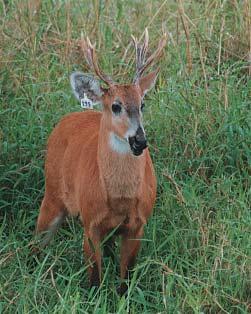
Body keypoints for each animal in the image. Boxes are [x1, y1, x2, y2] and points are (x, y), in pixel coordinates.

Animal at [34, 29, 165, 294]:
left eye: (143, 103)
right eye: (115, 106)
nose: (139, 140)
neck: (120, 198)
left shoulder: (138, 224)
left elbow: (127, 277)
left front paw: (123, 296)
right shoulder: (90, 222)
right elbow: (94, 276)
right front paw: (93, 297)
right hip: (52, 193)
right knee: (36, 242)